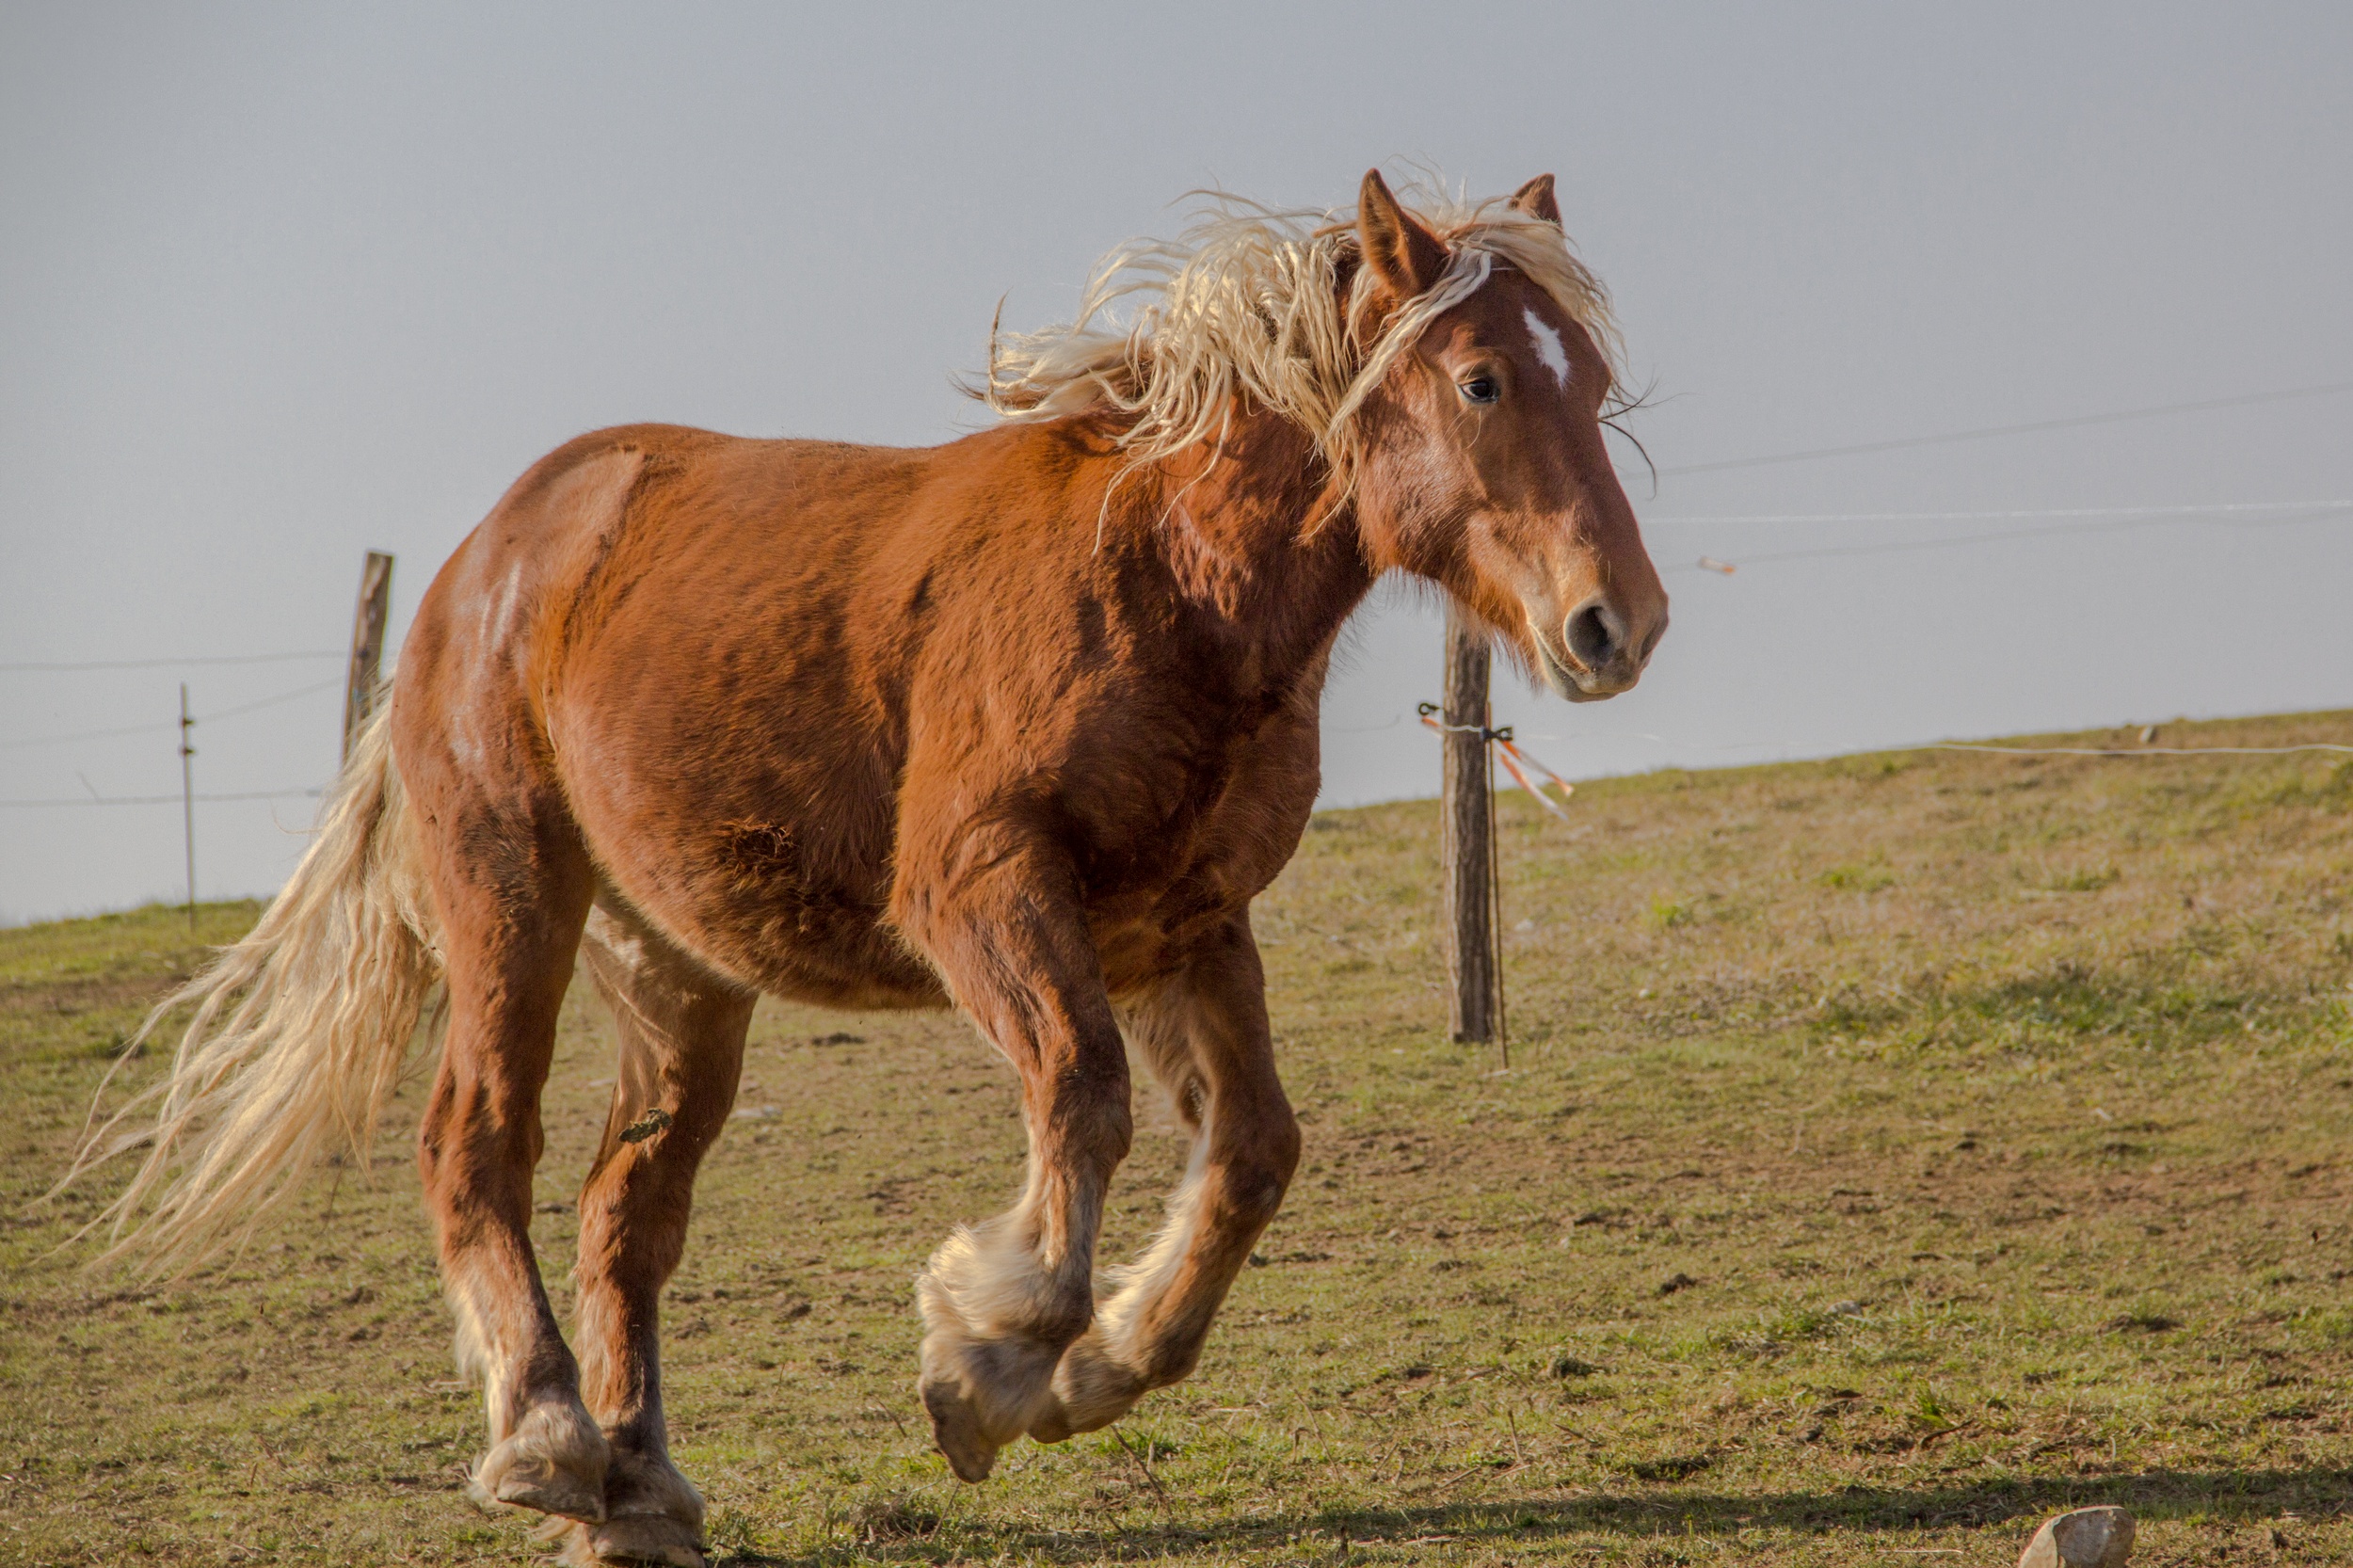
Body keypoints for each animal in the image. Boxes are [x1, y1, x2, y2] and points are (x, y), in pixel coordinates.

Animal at [64, 170, 1666, 1562]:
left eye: (1591, 378)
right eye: (1483, 381)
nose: (1619, 622)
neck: (1162, 579)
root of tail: (481, 562)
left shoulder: (1186, 923)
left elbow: (1254, 1151)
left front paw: (1095, 1366)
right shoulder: (983, 891)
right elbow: (1081, 1099)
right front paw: (991, 1356)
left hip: (679, 973)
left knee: (626, 1211)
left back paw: (637, 1490)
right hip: (510, 900)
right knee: (474, 1142)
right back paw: (548, 1438)